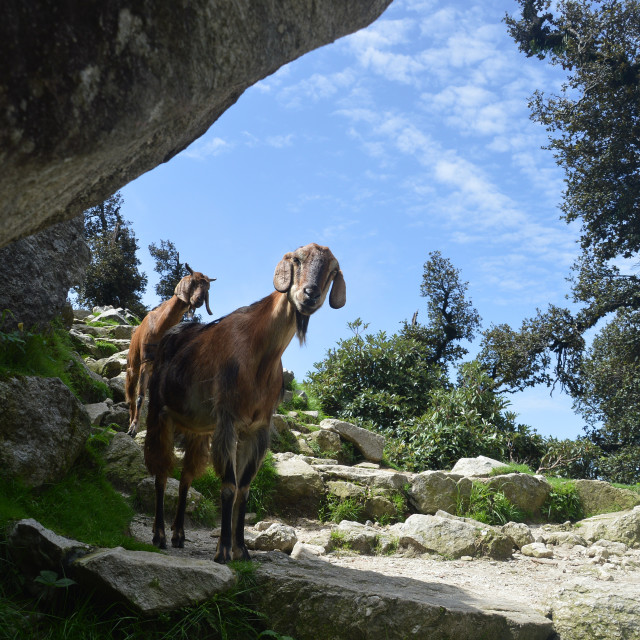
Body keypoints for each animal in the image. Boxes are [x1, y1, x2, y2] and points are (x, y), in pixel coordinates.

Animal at [125, 262, 215, 438]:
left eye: (208, 287)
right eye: (193, 281)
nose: (199, 300)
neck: (160, 324)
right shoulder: (147, 360)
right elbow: (140, 396)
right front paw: (134, 427)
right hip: (133, 365)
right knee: (131, 396)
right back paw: (130, 425)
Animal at [144, 242, 344, 564]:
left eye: (333, 270)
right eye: (297, 259)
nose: (310, 294)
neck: (260, 356)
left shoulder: (257, 428)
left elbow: (245, 487)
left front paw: (242, 548)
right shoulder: (228, 419)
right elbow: (228, 485)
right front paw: (224, 550)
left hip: (197, 428)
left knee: (186, 476)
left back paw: (179, 535)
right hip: (160, 413)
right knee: (162, 470)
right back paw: (160, 534)